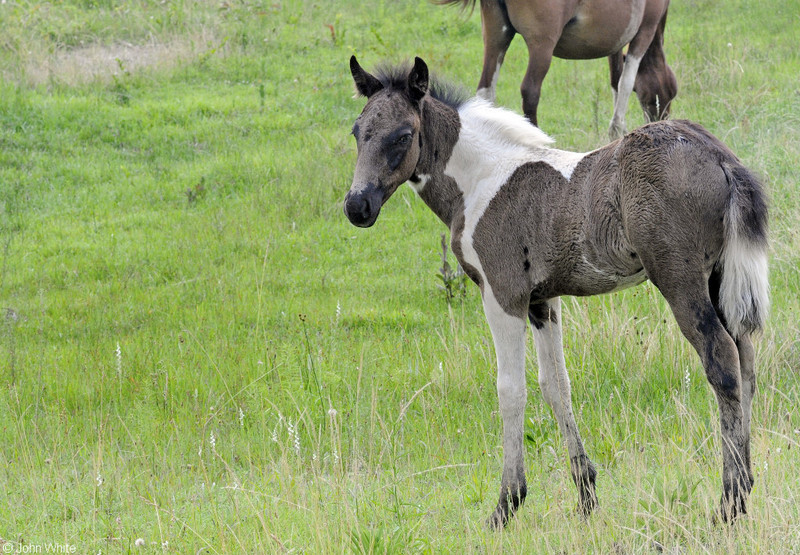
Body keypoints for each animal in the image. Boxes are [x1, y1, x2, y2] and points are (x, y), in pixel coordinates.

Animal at [342, 57, 768, 528]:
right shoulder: (542, 303)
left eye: (403, 135)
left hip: (680, 279)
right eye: (358, 131)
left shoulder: (502, 296)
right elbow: (555, 384)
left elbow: (511, 390)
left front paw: (507, 503)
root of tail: (719, 154)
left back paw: (729, 503)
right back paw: (746, 484)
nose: (357, 206)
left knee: (722, 360)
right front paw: (586, 497)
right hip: (719, 279)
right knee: (746, 360)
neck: (479, 178)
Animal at [440, 0, 680, 139]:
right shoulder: (644, 32)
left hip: (496, 37)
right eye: (670, 92)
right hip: (542, 45)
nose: (662, 121)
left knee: (485, 90)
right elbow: (626, 82)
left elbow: (616, 81)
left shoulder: (617, 42)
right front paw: (618, 129)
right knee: (530, 91)